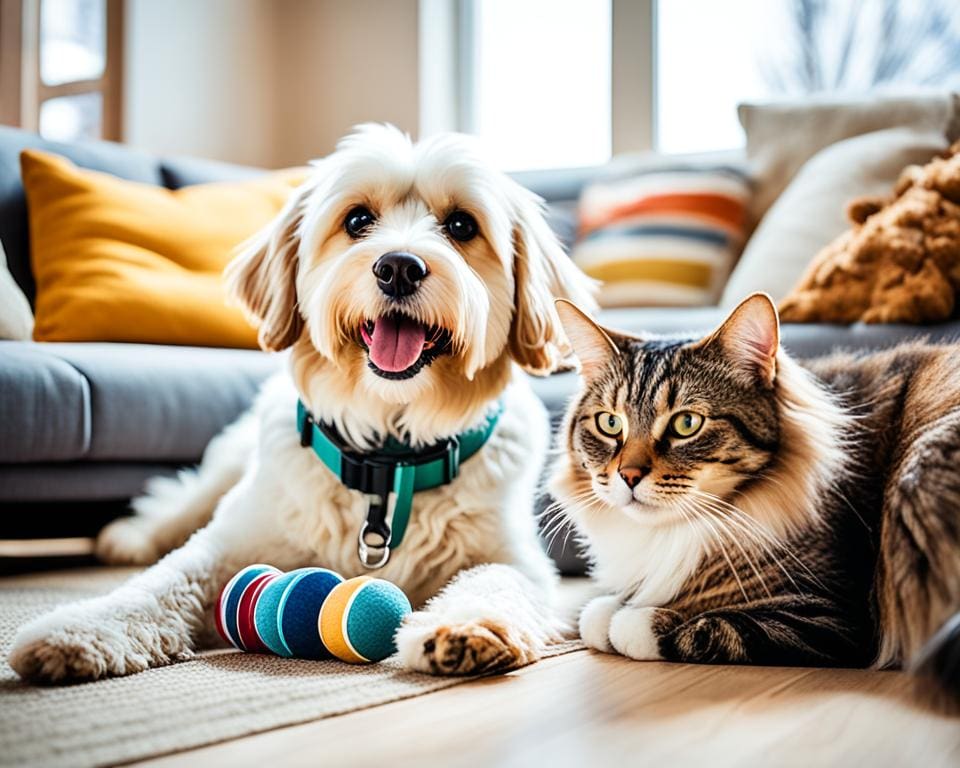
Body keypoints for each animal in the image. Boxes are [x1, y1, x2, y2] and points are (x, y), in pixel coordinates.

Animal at [11, 123, 596, 680]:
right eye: (357, 220)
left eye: (461, 227)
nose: (398, 267)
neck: (387, 459)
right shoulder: (231, 541)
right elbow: (163, 581)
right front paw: (81, 629)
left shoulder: (515, 557)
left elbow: (497, 579)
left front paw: (465, 626)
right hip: (228, 465)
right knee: (180, 502)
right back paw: (129, 538)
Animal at [548, 296, 960, 696]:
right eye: (610, 423)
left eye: (686, 424)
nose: (628, 476)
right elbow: (594, 615)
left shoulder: (830, 616)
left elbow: (698, 627)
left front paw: (636, 618)